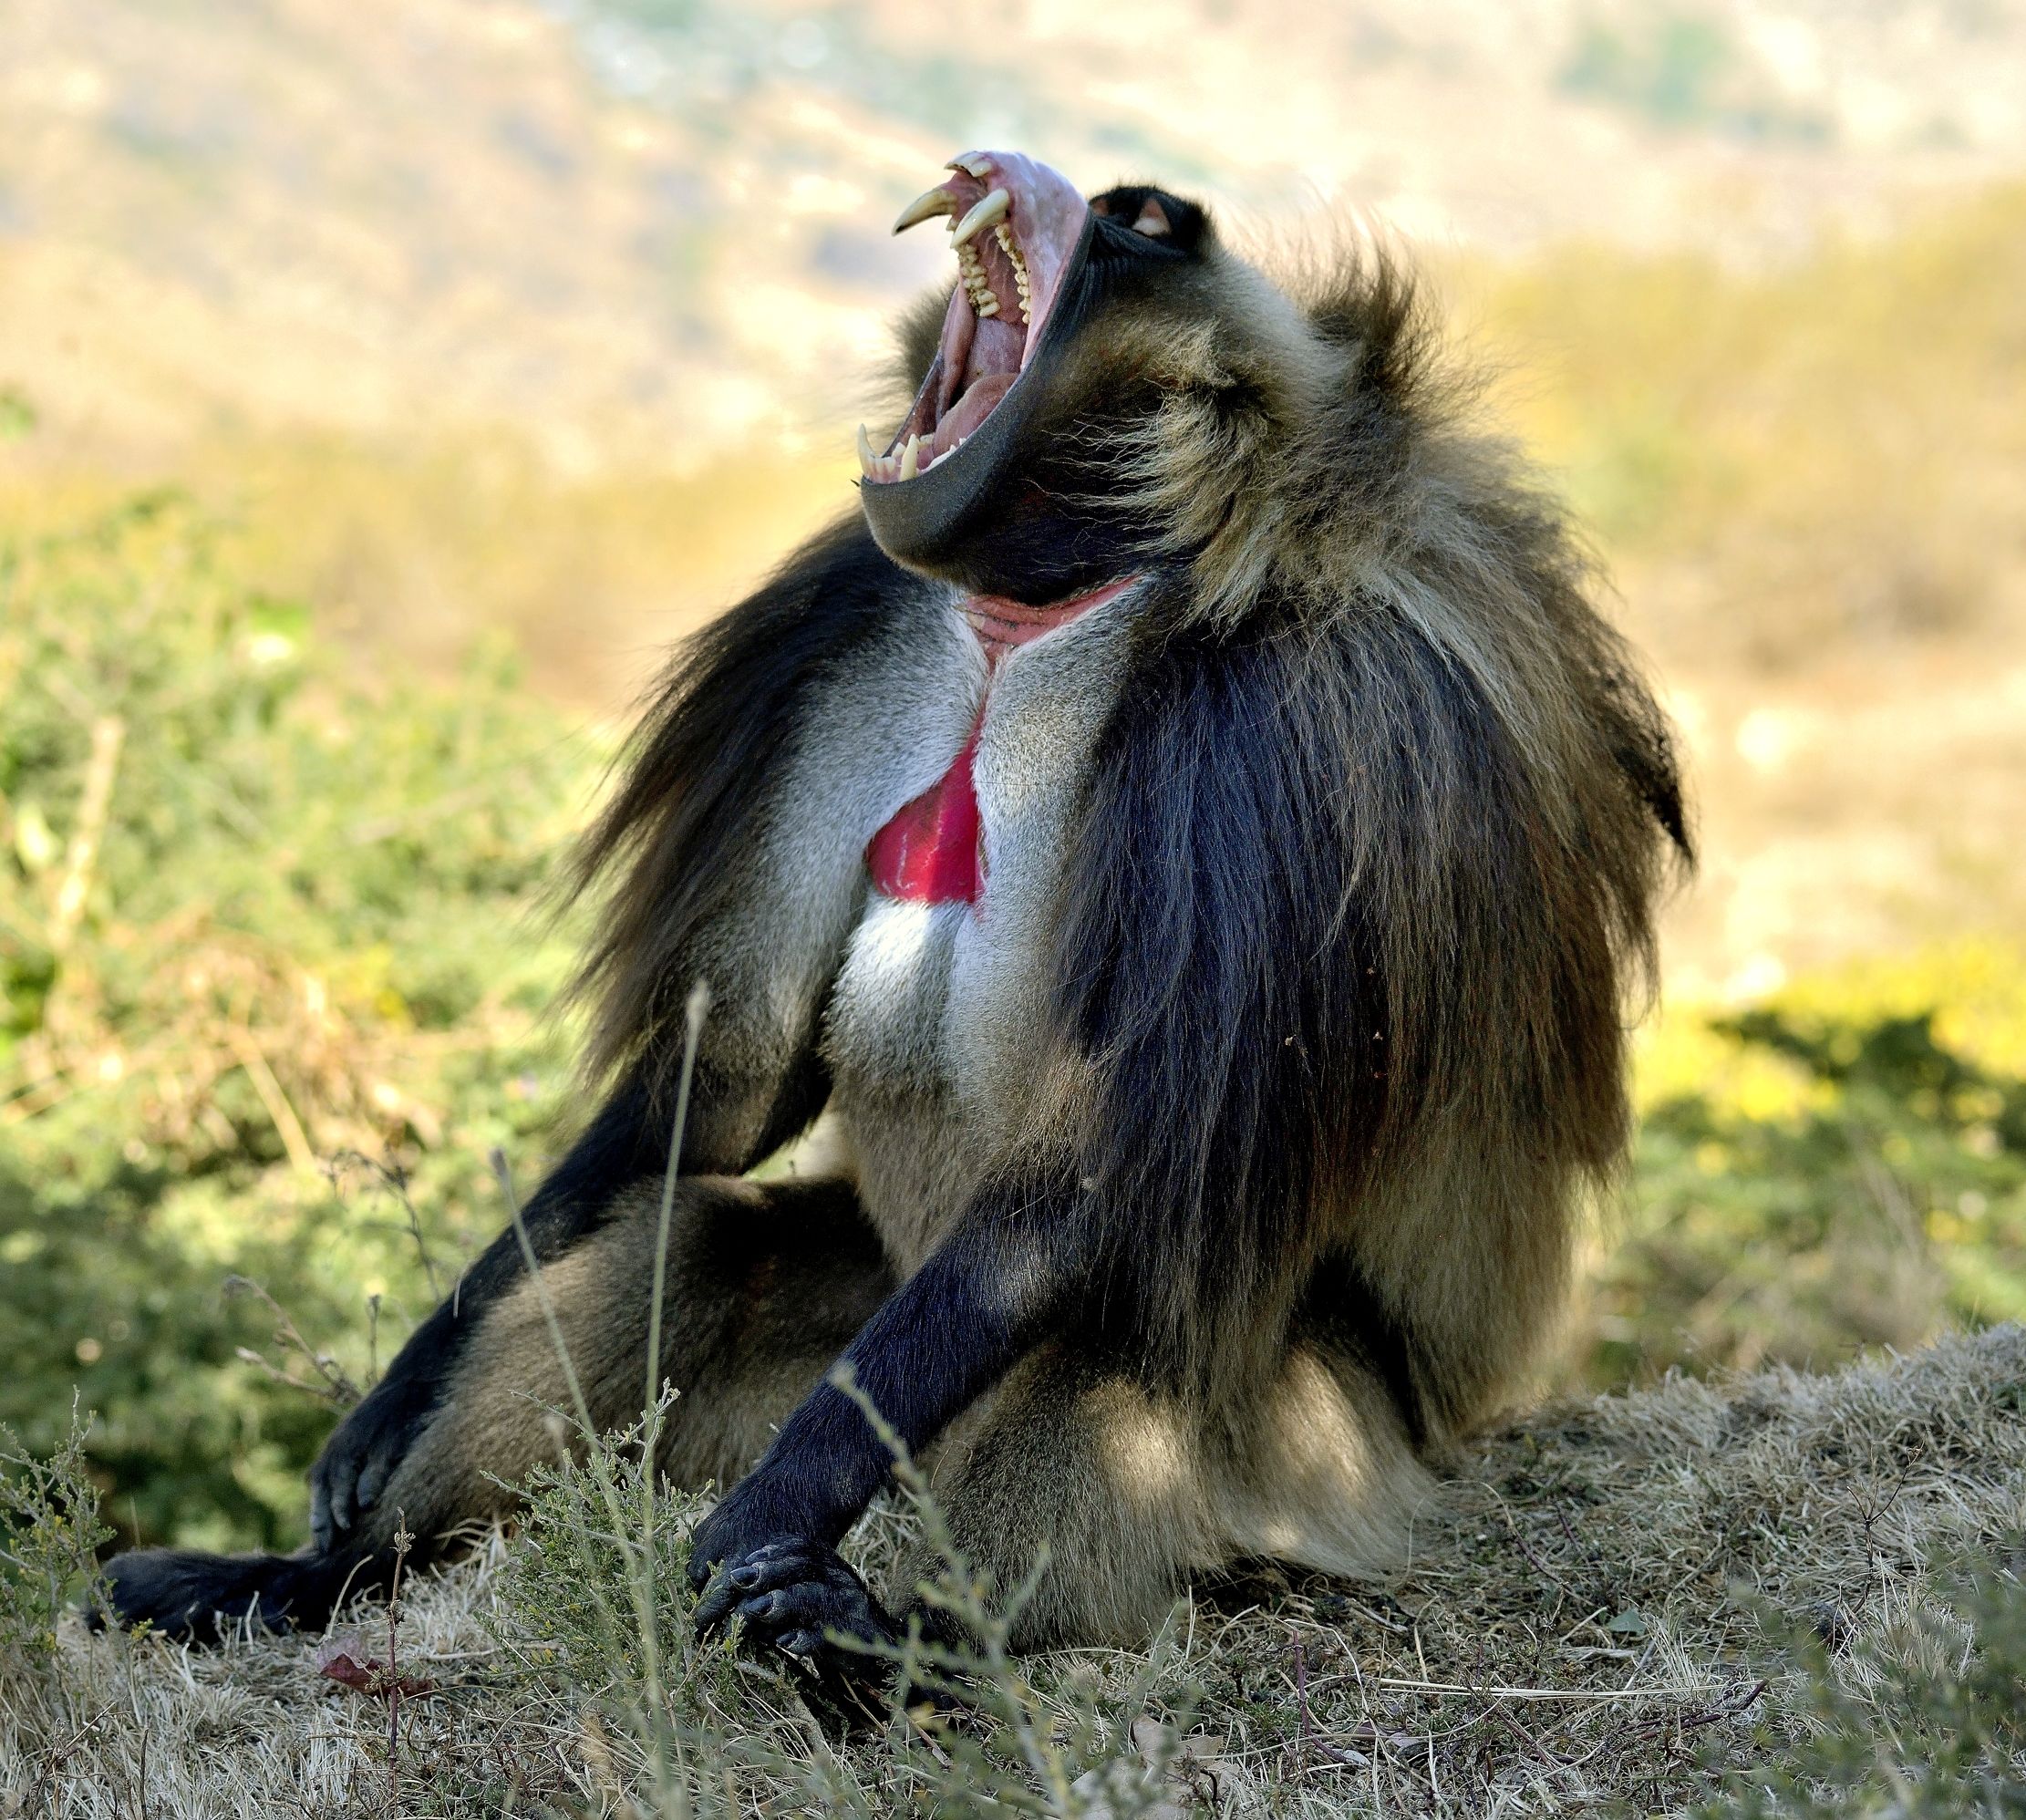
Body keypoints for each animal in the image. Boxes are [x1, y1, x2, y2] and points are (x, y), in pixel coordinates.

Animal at [101, 149, 1690, 1679]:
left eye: (1146, 228)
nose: (1115, 196)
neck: (1055, 605)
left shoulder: (1281, 738)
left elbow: (1086, 1185)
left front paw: (775, 1521)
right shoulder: (856, 646)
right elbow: (726, 1087)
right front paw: (385, 1413)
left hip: (1321, 1469)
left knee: (1108, 1331)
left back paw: (894, 1642)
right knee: (697, 1240)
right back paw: (318, 1582)